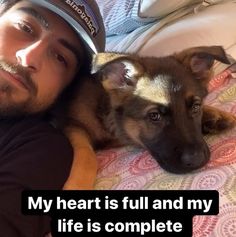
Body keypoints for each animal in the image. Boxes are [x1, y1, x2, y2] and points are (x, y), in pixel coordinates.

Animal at [62, 45, 236, 191]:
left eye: (195, 107)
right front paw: (77, 184)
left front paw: (216, 115)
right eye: (154, 116)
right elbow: (87, 156)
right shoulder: (73, 126)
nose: (198, 160)